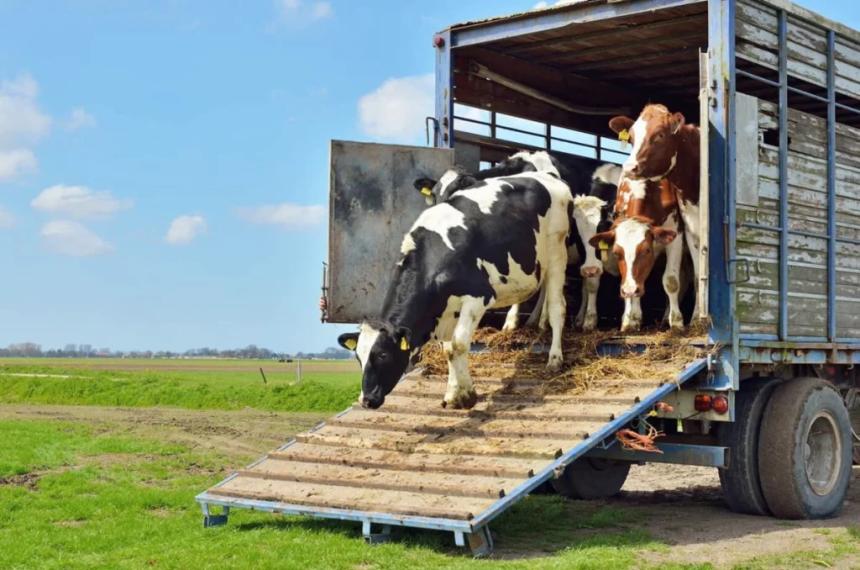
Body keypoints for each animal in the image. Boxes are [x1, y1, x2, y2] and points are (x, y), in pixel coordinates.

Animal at [340, 170, 576, 408]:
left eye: (383, 355)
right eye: (359, 357)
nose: (366, 399)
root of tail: (546, 175)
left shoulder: (478, 296)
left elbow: (458, 345)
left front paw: (465, 395)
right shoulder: (447, 309)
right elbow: (448, 349)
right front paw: (455, 392)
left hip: (557, 251)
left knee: (558, 307)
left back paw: (555, 358)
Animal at [588, 175, 680, 330]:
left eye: (647, 250)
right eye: (616, 253)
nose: (630, 290)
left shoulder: (676, 233)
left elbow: (671, 281)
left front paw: (677, 321)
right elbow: (626, 279)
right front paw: (629, 319)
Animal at [608, 105, 704, 320]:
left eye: (659, 135)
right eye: (631, 137)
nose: (630, 168)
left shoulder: (677, 231)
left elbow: (671, 280)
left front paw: (679, 321)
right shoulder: (691, 230)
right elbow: (698, 276)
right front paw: (630, 318)